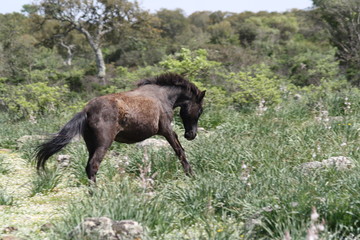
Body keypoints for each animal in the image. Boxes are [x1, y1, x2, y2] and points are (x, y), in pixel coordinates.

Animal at [37, 73, 207, 182]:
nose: (191, 134)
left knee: (88, 168)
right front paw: (191, 174)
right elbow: (179, 151)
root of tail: (86, 110)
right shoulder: (166, 130)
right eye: (200, 110)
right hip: (103, 144)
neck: (163, 96)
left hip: (91, 145)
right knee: (93, 166)